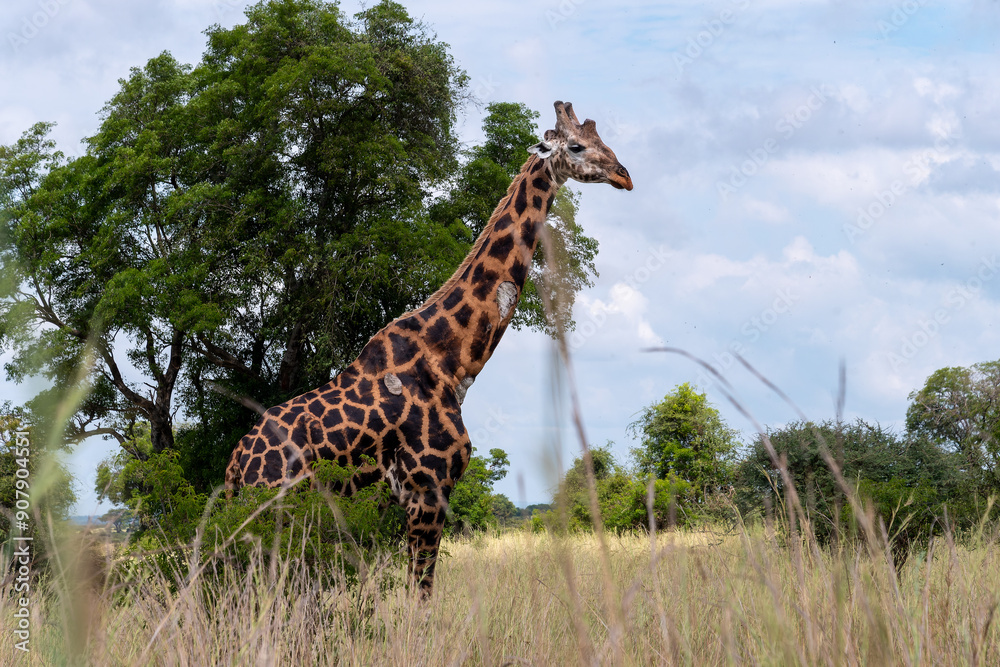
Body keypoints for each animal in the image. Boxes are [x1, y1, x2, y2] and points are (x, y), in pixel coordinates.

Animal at [225, 101, 633, 595]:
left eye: (603, 141)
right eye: (575, 146)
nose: (624, 176)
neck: (452, 360)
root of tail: (234, 469)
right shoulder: (428, 490)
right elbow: (420, 594)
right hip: (274, 513)